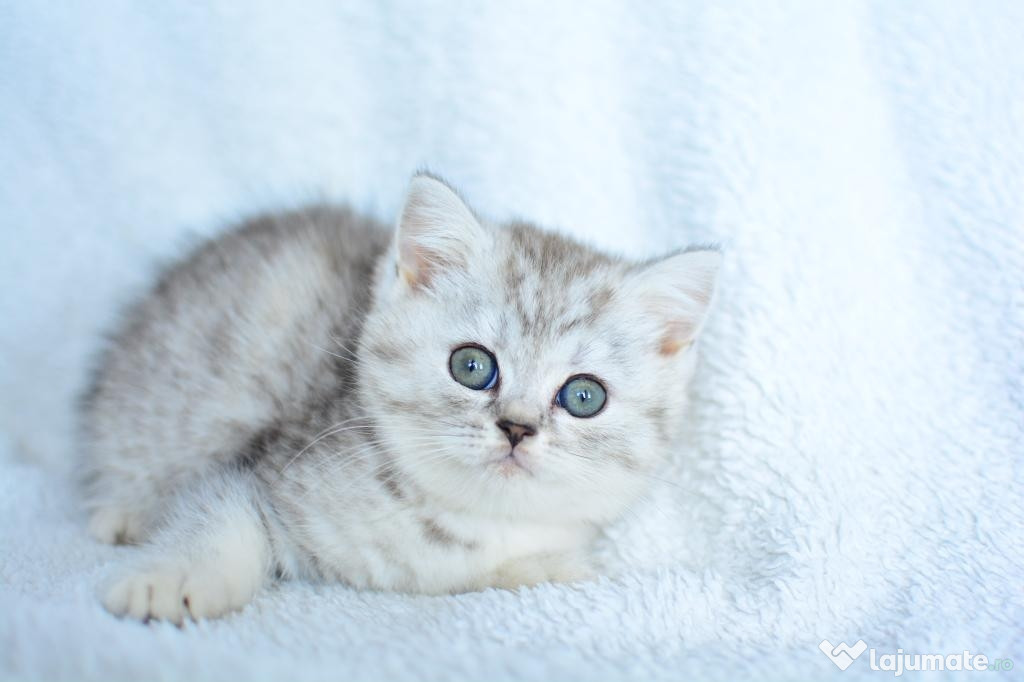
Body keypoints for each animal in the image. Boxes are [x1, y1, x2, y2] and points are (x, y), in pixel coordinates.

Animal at [81, 173, 720, 618]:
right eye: (472, 366)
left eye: (584, 397)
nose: (517, 428)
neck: (457, 522)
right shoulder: (269, 461)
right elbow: (219, 513)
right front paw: (173, 581)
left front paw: (562, 569)